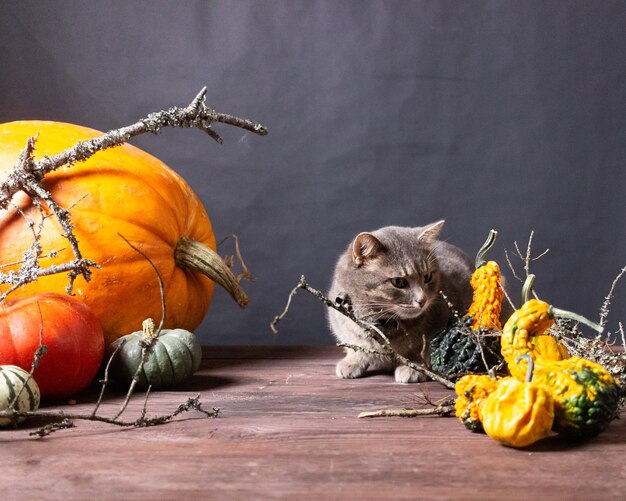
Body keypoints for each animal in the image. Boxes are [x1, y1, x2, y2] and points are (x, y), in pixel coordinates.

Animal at [330, 220, 470, 382]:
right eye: (398, 282)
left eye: (427, 277)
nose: (422, 300)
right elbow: (356, 345)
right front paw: (353, 361)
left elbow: (426, 351)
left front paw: (415, 368)